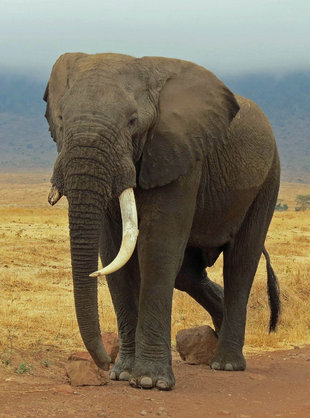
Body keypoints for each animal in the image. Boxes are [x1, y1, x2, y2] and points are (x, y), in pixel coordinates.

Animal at [44, 53, 280, 392]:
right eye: (61, 120)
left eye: (132, 122)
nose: (102, 362)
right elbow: (113, 253)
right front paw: (122, 375)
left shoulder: (180, 153)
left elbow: (157, 248)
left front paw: (149, 381)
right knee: (188, 275)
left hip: (267, 180)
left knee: (241, 262)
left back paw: (226, 364)